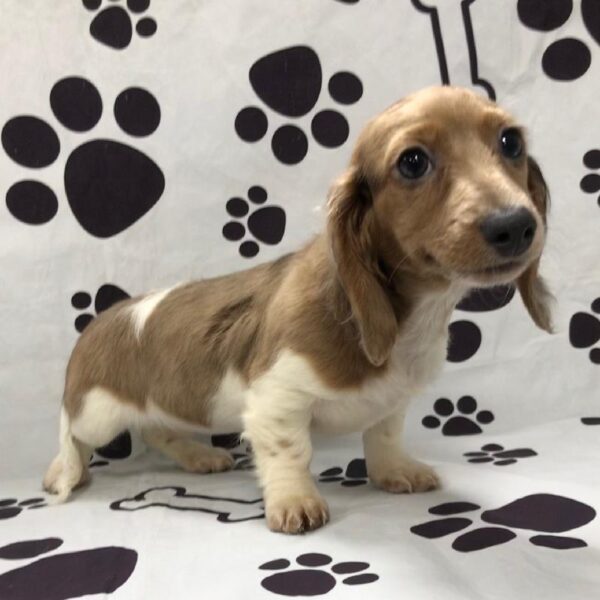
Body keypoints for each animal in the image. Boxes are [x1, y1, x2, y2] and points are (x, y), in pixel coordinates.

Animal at [44, 86, 552, 532]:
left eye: (510, 142)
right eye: (412, 162)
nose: (515, 225)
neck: (406, 316)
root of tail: (102, 319)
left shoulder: (391, 403)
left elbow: (384, 435)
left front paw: (394, 472)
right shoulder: (276, 399)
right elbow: (291, 452)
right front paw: (295, 502)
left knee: (155, 430)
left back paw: (199, 456)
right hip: (97, 412)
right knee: (72, 432)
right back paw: (61, 473)